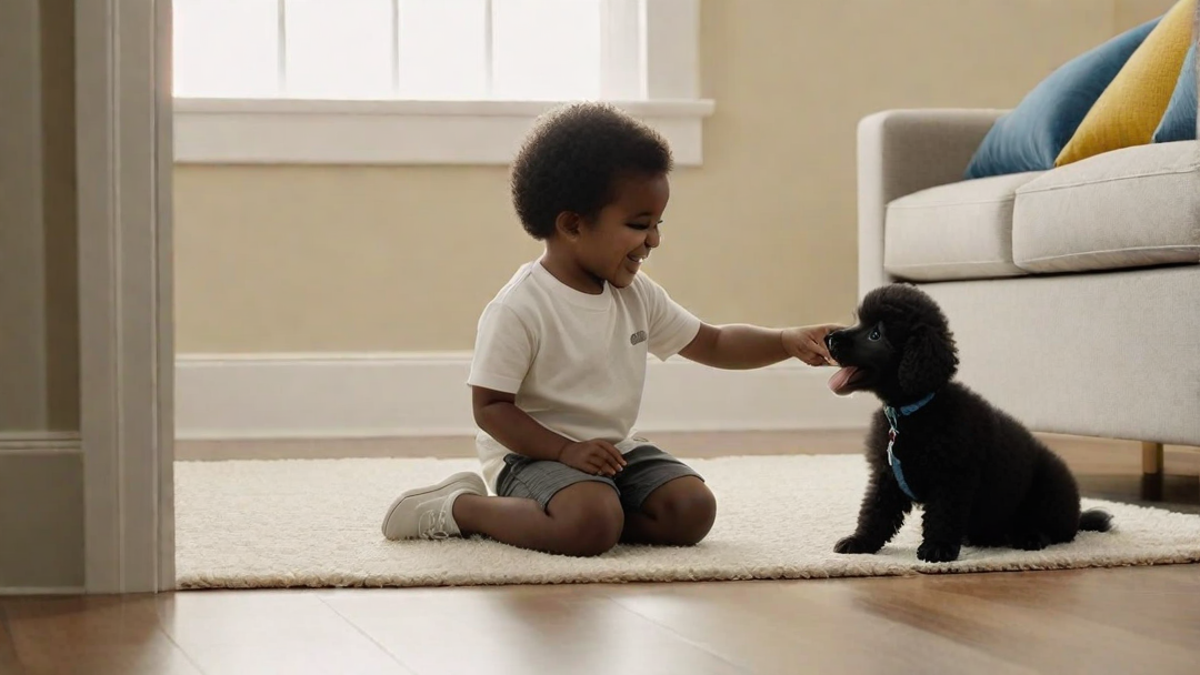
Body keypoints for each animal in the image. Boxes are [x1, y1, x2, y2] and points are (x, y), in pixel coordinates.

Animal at [825, 281, 1113, 559]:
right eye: (858, 321)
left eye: (875, 334)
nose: (829, 338)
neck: (910, 412)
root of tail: (1077, 517)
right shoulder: (887, 477)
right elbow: (875, 513)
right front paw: (860, 541)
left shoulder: (952, 477)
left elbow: (943, 514)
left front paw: (938, 547)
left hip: (1049, 486)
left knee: (1057, 530)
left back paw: (1031, 537)